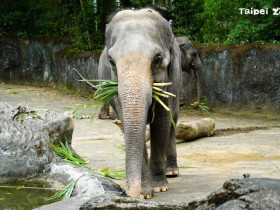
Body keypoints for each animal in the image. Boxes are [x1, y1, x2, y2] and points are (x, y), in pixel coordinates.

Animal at [98, 8, 182, 199]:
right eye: (111, 61)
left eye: (157, 59)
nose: (130, 193)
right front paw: (145, 193)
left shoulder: (170, 78)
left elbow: (161, 122)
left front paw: (159, 188)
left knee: (173, 119)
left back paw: (171, 172)